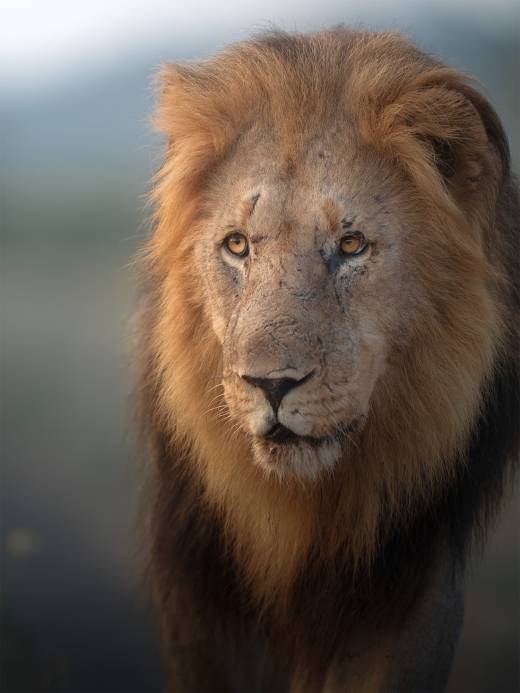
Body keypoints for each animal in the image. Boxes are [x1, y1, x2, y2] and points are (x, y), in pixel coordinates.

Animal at [138, 28, 519, 692]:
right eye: (237, 245)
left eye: (351, 244)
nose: (271, 385)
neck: (300, 517)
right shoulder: (197, 601)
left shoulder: (407, 595)